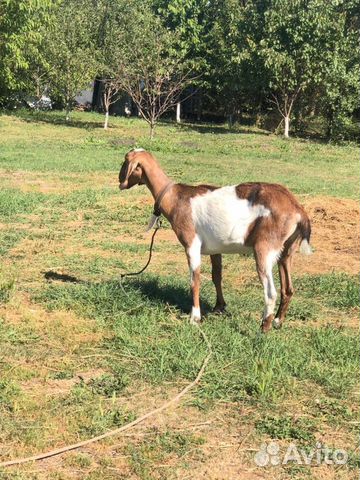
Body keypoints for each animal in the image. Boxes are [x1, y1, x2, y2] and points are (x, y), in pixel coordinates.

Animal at [119, 148, 312, 332]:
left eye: (125, 161)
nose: (119, 180)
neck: (175, 198)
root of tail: (298, 210)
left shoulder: (191, 244)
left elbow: (194, 280)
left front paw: (195, 318)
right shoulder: (215, 249)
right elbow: (216, 276)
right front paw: (219, 307)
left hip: (265, 248)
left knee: (271, 292)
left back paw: (264, 327)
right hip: (287, 250)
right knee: (288, 289)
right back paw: (278, 321)